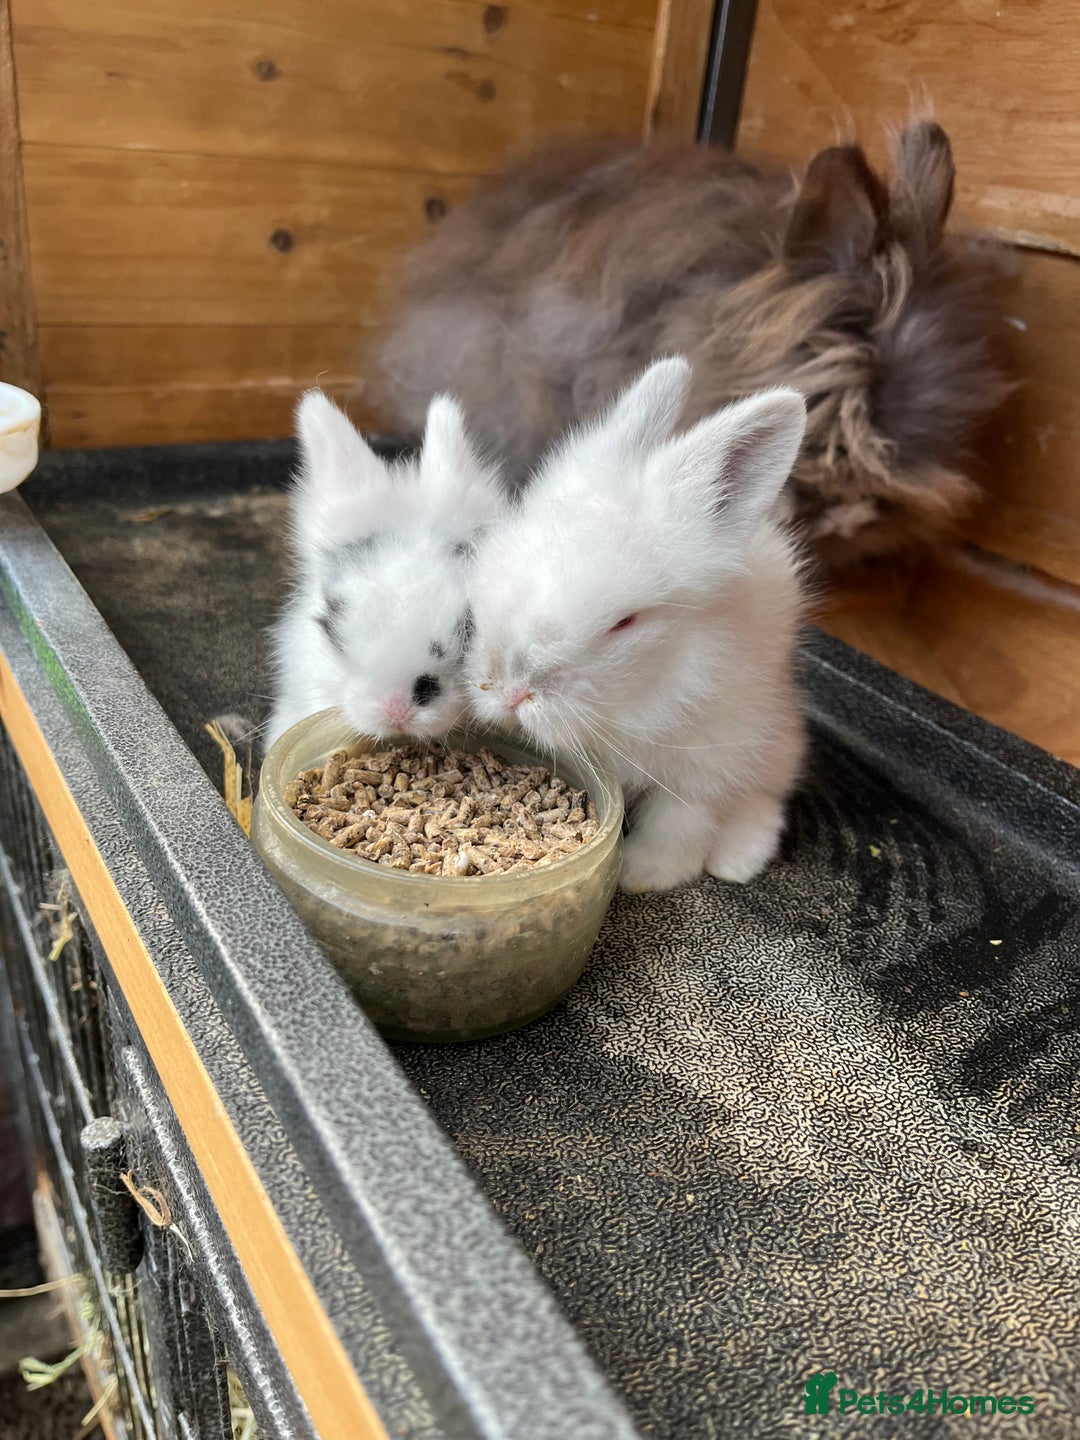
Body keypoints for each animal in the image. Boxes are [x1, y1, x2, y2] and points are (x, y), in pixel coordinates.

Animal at [464, 356, 808, 894]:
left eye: (624, 623)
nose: (511, 692)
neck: (628, 710)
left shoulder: (705, 767)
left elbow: (681, 825)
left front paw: (642, 874)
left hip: (776, 744)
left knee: (764, 799)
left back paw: (736, 862)